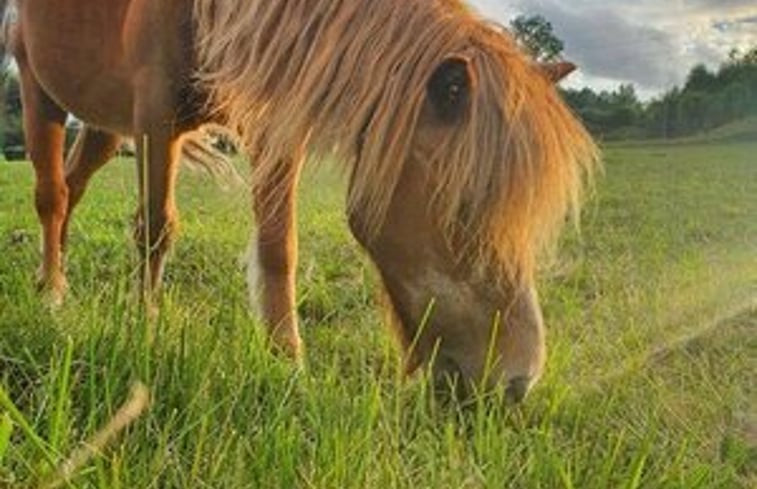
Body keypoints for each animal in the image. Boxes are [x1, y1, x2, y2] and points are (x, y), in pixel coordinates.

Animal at [2, 0, 600, 402]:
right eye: (465, 209)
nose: (517, 382)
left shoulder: (274, 119)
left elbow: (278, 246)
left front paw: (285, 358)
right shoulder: (155, 117)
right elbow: (155, 227)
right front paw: (145, 325)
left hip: (105, 124)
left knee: (74, 186)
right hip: (39, 91)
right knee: (53, 195)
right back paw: (52, 290)